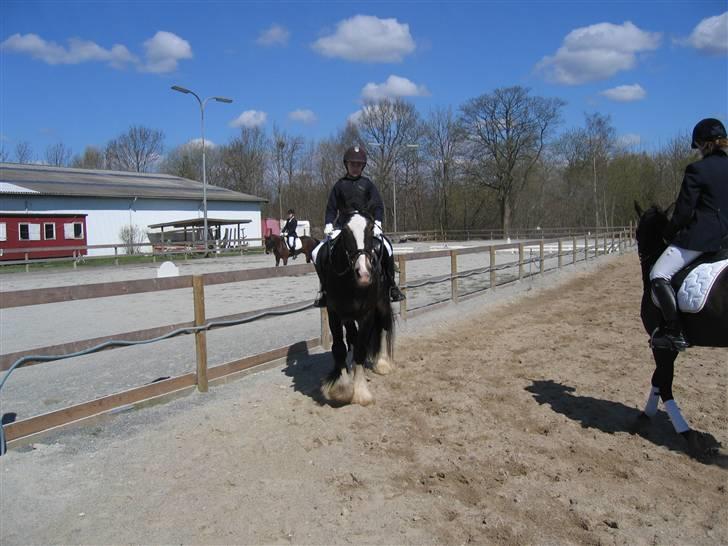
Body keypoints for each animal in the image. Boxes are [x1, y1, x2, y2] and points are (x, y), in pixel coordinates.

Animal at [318, 210, 396, 402]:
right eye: (345, 230)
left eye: (371, 228)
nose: (364, 274)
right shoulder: (335, 313)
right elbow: (340, 347)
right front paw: (342, 387)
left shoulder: (367, 314)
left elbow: (361, 349)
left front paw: (361, 391)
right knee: (353, 337)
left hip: (382, 304)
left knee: (383, 327)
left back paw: (382, 363)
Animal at [636, 202, 724, 456]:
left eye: (638, 232)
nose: (642, 255)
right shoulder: (668, 343)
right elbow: (660, 379)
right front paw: (647, 416)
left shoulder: (661, 342)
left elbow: (662, 380)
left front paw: (688, 434)